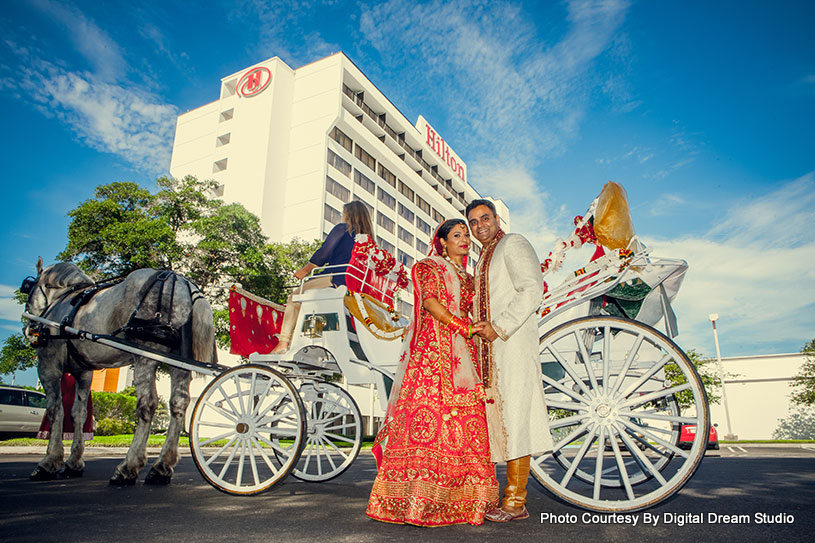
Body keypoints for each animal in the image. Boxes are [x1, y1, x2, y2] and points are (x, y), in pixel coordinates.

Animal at [23, 258, 217, 486]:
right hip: (178, 363)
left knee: (148, 404)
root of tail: (182, 284)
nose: (30, 331)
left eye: (28, 289)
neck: (61, 303)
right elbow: (79, 413)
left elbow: (55, 411)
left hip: (145, 354)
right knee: (179, 403)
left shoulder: (49, 365)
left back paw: (128, 466)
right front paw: (74, 462)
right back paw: (161, 467)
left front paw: (49, 462)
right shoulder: (85, 371)